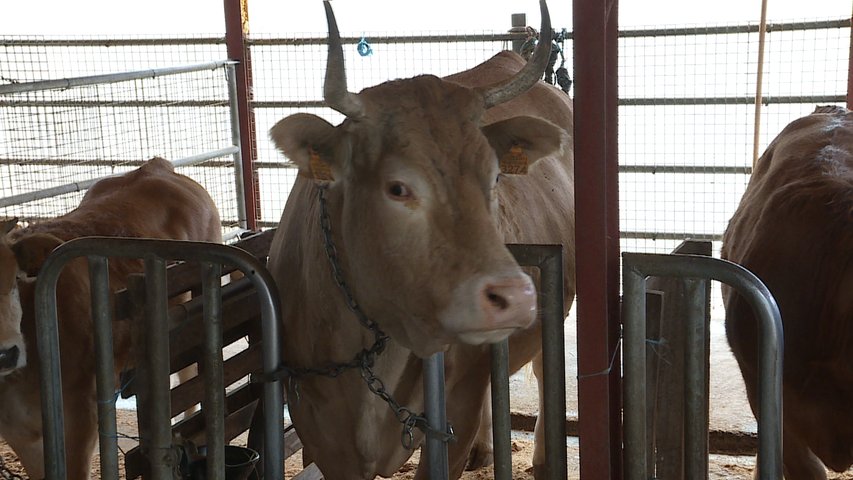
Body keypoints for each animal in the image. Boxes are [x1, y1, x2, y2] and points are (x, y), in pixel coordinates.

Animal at [264, 1, 572, 478]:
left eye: (495, 176)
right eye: (397, 188)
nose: (514, 296)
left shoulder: (455, 410)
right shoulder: (323, 433)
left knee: (542, 368)